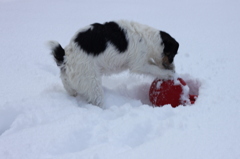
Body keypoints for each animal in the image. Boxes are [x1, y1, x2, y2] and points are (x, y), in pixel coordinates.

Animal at [48, 20, 178, 107]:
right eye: (172, 54)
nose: (173, 67)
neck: (148, 39)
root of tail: (66, 56)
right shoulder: (139, 64)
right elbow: (154, 69)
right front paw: (169, 74)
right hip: (92, 83)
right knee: (97, 102)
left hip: (71, 82)